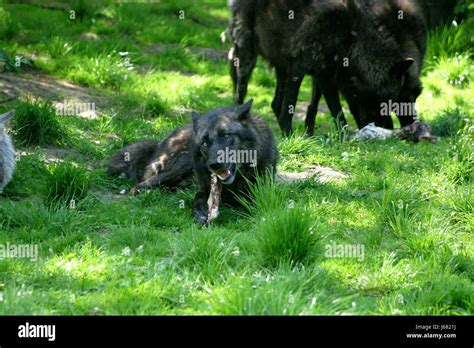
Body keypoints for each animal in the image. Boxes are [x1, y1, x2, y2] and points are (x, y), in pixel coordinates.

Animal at [107, 100, 278, 226]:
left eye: (226, 135)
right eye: (204, 143)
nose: (214, 164)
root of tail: (157, 144)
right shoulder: (204, 187)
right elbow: (197, 197)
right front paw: (199, 212)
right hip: (181, 165)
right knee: (138, 186)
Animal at [229, 0, 426, 135]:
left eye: (415, 96)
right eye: (392, 99)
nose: (388, 127)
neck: (351, 39)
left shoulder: (326, 77)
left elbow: (335, 111)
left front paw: (344, 137)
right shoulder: (300, 69)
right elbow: (290, 108)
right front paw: (289, 135)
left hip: (281, 66)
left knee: (275, 103)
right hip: (248, 56)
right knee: (241, 93)